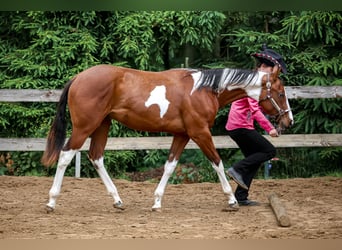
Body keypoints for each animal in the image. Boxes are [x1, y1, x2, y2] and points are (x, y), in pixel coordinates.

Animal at [41, 63, 292, 212]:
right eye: (280, 93)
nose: (288, 121)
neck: (203, 90)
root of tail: (78, 78)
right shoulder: (200, 132)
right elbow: (217, 162)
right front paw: (231, 200)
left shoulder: (182, 135)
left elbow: (170, 166)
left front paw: (157, 201)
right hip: (85, 127)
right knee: (66, 156)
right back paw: (52, 201)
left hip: (102, 125)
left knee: (96, 157)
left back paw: (118, 200)